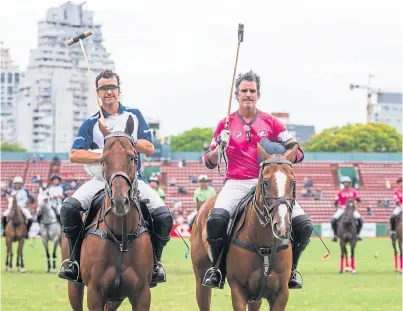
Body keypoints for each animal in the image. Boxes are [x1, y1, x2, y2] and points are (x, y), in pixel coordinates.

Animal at [61, 116, 155, 310]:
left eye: (132, 157)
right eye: (103, 160)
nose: (119, 201)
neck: (120, 236)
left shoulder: (142, 294)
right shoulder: (95, 293)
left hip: (116, 297)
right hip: (74, 286)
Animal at [190, 146, 300, 311]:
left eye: (293, 182)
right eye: (265, 182)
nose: (282, 226)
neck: (264, 245)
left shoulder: (281, 293)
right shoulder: (238, 291)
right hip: (201, 279)